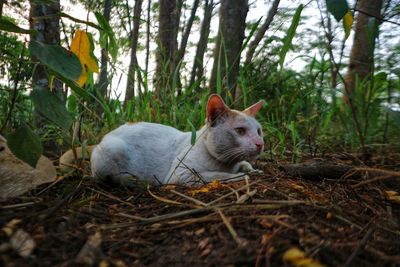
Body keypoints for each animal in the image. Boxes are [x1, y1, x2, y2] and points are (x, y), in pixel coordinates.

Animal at [91, 94, 266, 186]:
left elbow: (246, 164)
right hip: (114, 149)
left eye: (259, 131)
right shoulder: (180, 174)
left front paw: (253, 170)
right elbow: (217, 175)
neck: (229, 163)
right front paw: (241, 176)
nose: (260, 144)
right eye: (240, 131)